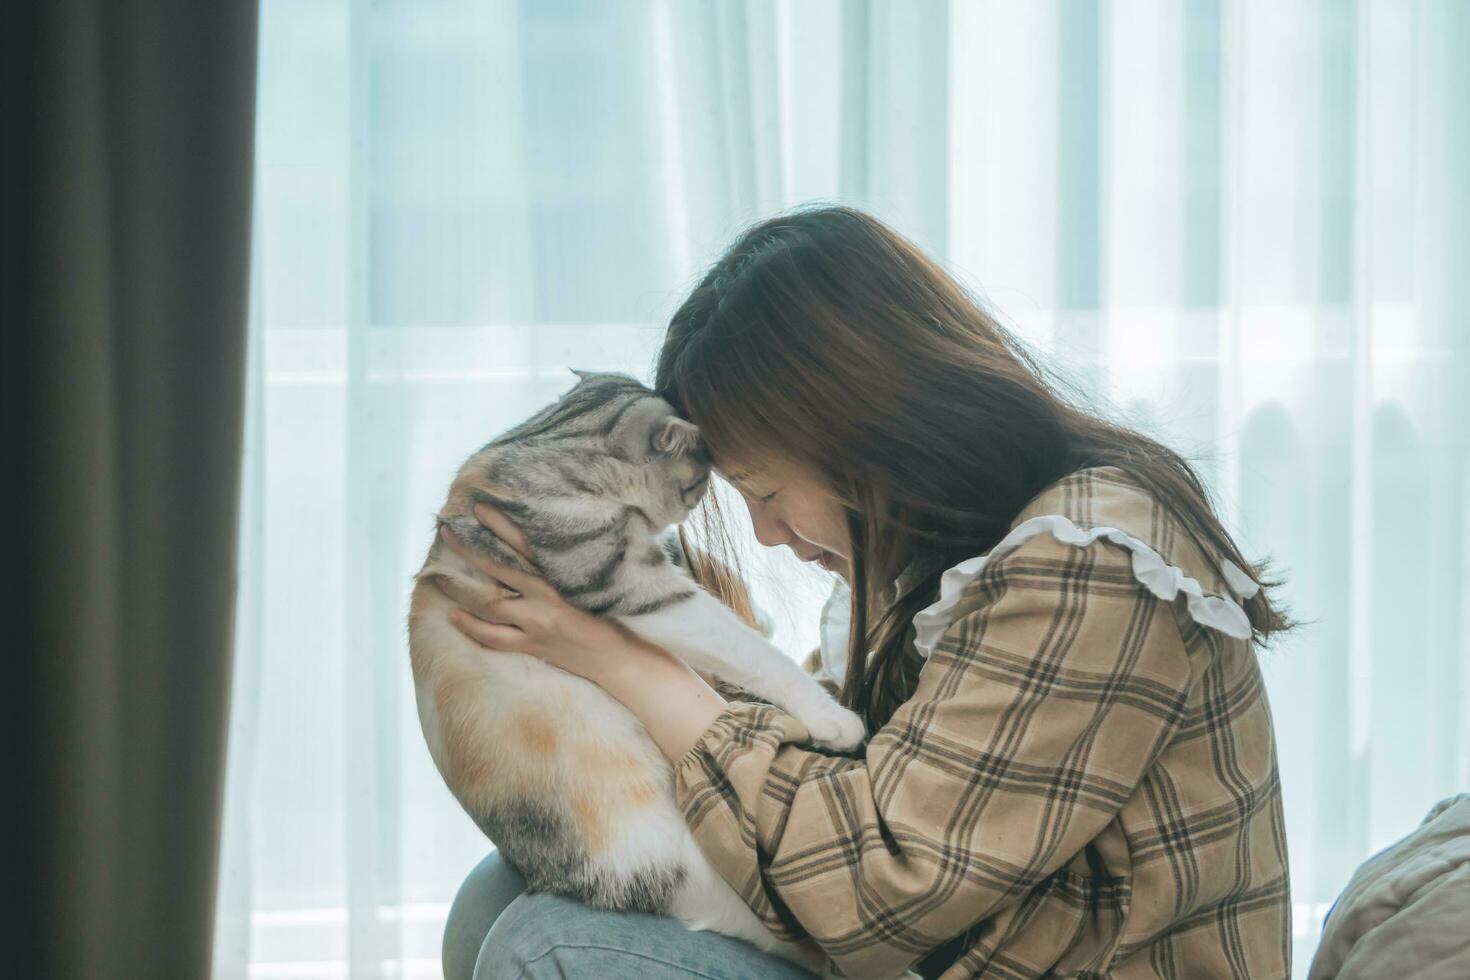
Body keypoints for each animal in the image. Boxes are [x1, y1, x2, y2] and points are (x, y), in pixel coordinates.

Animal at [408, 370, 864, 975]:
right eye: (700, 481)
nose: (694, 510)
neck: (545, 441)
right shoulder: (635, 582)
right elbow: (745, 646)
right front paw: (834, 718)